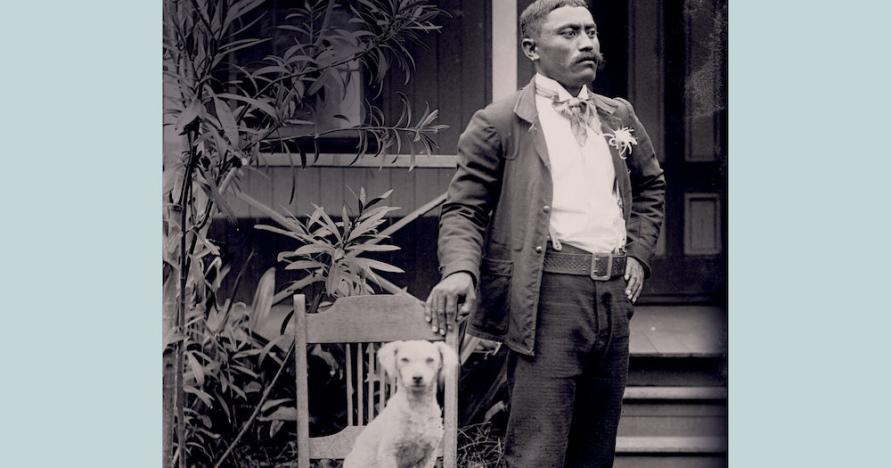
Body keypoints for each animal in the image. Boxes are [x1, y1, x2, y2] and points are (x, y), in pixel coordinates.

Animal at [344, 340, 460, 468]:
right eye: (405, 359)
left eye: (430, 360)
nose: (417, 377)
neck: (418, 407)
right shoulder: (388, 452)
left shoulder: (429, 453)